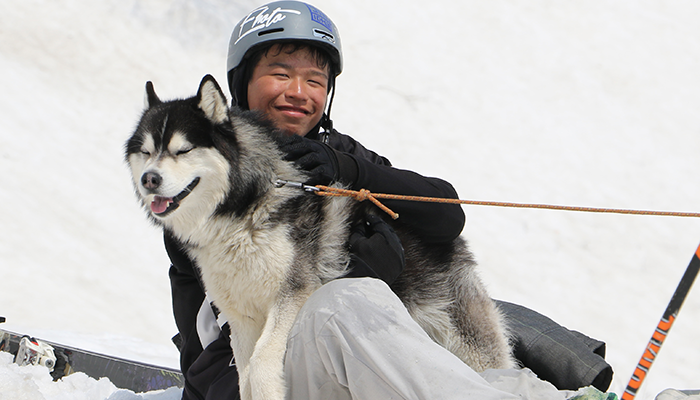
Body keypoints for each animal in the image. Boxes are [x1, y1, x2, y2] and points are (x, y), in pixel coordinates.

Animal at [126, 75, 516, 400]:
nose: (149, 179)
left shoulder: (292, 294)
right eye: (146, 151)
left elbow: (262, 366)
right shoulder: (242, 318)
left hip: (468, 343)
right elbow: (245, 375)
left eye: (182, 150)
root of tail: (456, 246)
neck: (241, 209)